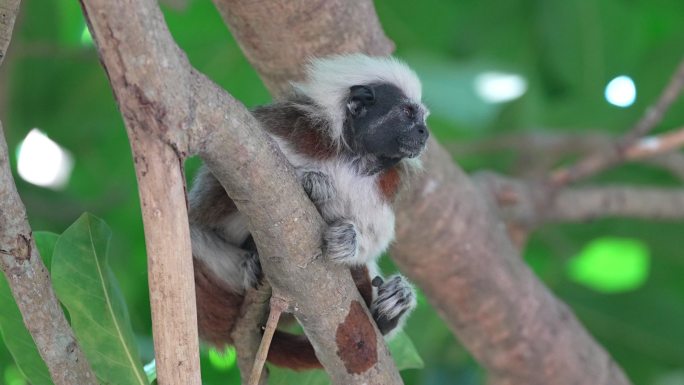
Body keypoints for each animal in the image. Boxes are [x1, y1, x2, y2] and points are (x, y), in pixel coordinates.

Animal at [188, 54, 428, 368]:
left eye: (423, 119)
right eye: (408, 113)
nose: (425, 132)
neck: (352, 157)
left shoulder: (383, 184)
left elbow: (377, 234)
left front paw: (347, 241)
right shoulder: (292, 129)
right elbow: (229, 179)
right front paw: (315, 186)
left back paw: (389, 310)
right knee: (203, 225)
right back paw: (250, 260)